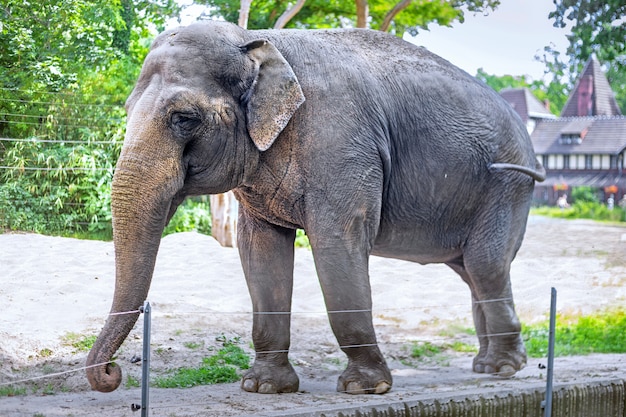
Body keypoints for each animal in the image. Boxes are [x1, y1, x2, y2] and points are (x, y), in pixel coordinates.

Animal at [85, 21, 544, 394]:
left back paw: (500, 369)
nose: (112, 374)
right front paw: (263, 387)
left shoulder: (341, 147)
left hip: (506, 185)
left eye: (184, 118)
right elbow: (261, 251)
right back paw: (489, 365)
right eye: (127, 110)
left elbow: (337, 241)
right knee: (473, 270)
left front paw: (365, 387)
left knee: (485, 264)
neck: (260, 42)